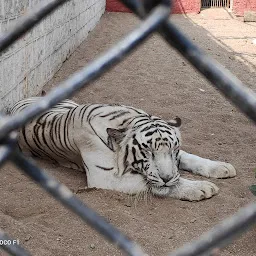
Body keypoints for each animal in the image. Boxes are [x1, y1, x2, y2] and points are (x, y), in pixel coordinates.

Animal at [11, 97, 237, 201]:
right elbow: (159, 183)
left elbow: (191, 158)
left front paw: (222, 167)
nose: (166, 177)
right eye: (148, 152)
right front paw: (201, 187)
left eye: (173, 150)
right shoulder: (105, 178)